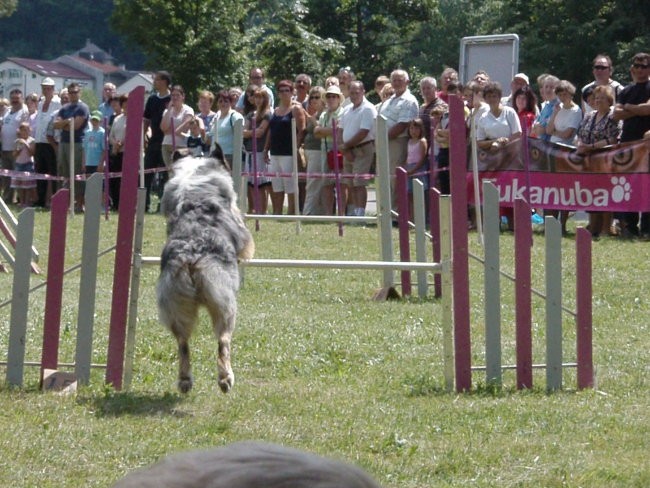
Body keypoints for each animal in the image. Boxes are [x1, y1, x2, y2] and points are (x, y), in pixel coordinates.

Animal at [157, 151, 253, 394]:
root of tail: (191, 256)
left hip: (174, 302)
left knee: (183, 343)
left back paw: (185, 381)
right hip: (224, 301)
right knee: (223, 341)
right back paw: (226, 379)